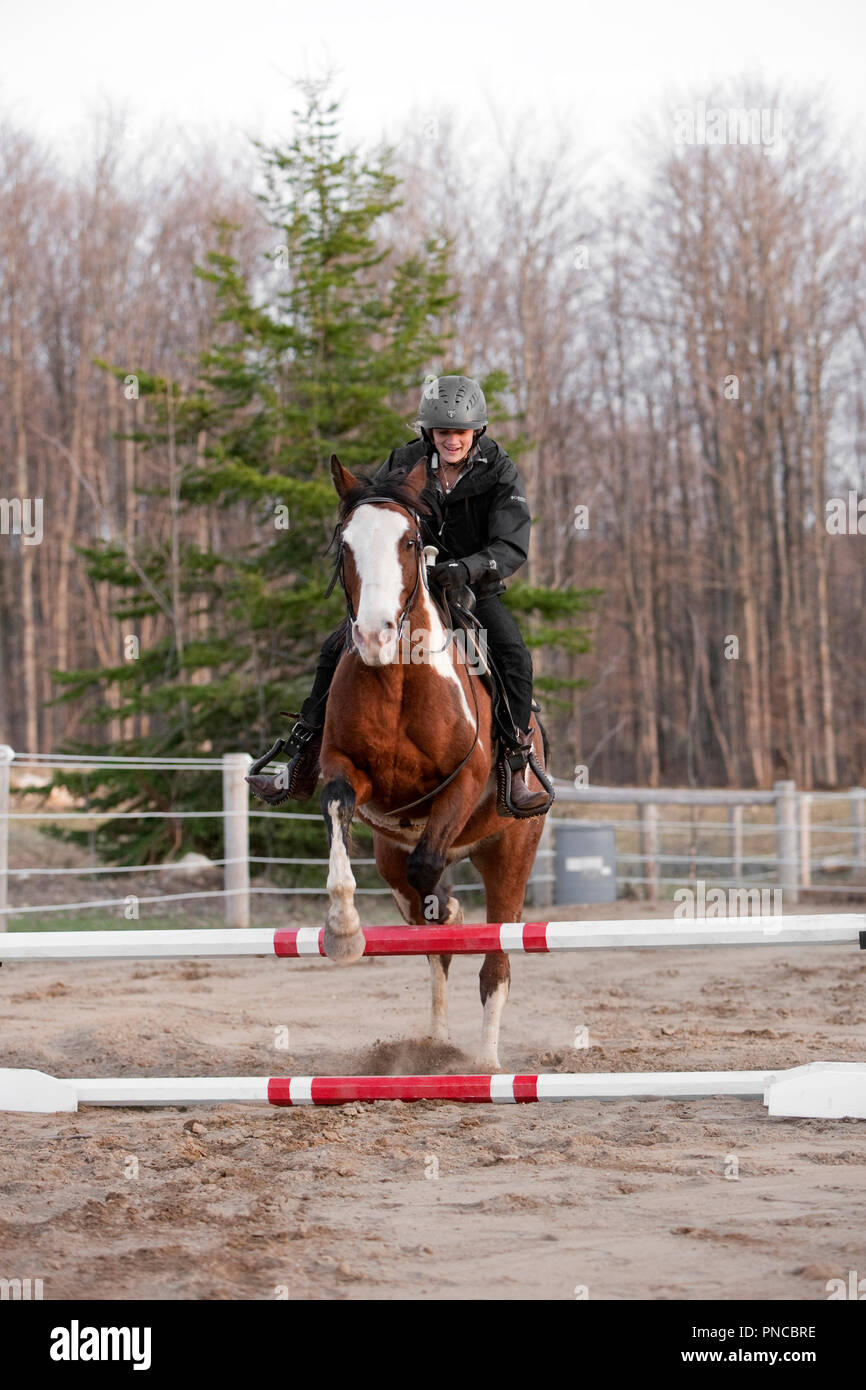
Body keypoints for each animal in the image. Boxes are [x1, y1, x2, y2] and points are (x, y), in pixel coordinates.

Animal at [318, 450, 547, 1067]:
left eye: (408, 542)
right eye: (345, 544)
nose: (374, 636)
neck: (399, 677)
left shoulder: (463, 785)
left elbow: (431, 869)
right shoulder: (344, 773)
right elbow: (340, 818)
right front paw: (344, 931)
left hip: (510, 852)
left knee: (496, 961)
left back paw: (487, 1062)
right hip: (389, 857)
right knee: (433, 939)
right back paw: (438, 1043)